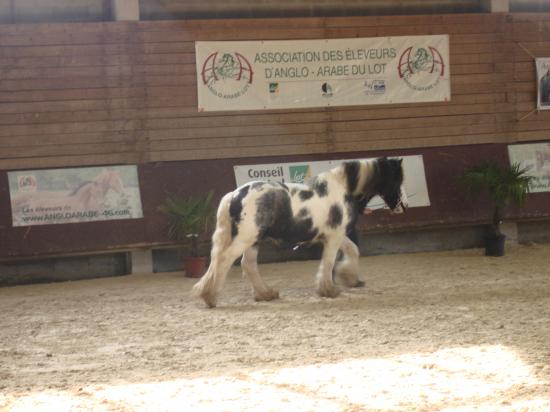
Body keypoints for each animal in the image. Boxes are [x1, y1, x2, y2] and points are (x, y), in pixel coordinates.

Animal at [192, 156, 408, 308]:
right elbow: (329, 262)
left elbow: (353, 250)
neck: (344, 189)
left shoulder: (336, 234)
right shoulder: (334, 236)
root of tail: (235, 194)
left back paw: (265, 294)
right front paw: (329, 289)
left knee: (248, 265)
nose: (404, 206)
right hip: (246, 238)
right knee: (224, 260)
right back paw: (210, 297)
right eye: (397, 181)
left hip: (253, 240)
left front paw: (350, 278)